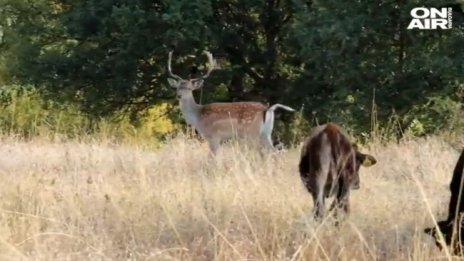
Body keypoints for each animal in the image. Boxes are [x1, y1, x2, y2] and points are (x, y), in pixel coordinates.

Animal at [167, 49, 296, 153]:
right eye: (177, 87)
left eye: (189, 88)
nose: (178, 95)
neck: (197, 117)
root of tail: (268, 108)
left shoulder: (214, 136)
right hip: (266, 132)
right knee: (274, 152)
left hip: (252, 132)